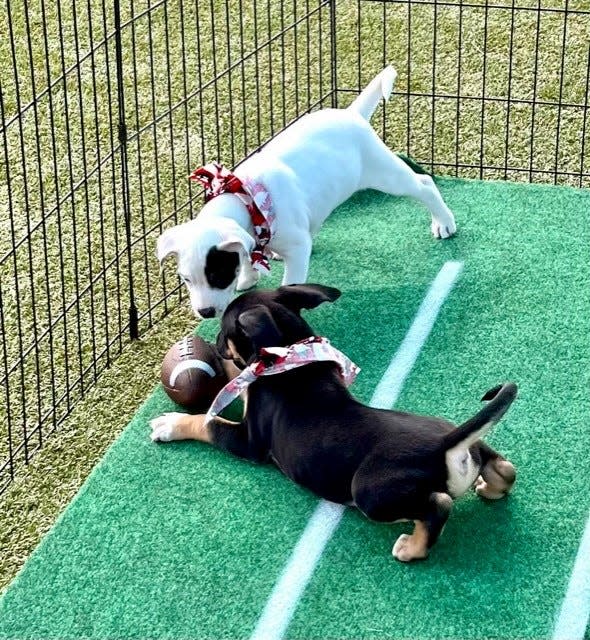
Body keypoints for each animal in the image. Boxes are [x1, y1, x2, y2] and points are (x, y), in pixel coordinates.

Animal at [151, 284, 520, 560]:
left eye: (224, 331)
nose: (211, 343)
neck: (292, 356)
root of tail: (447, 444)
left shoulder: (249, 442)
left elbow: (208, 423)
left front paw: (170, 423)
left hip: (370, 492)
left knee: (439, 504)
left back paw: (411, 547)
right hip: (475, 447)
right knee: (504, 468)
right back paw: (490, 487)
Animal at [157, 67, 458, 318]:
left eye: (217, 275)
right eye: (186, 279)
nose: (205, 313)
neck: (244, 199)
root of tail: (351, 113)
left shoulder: (297, 247)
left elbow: (290, 281)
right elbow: (248, 254)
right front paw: (247, 276)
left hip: (384, 173)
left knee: (424, 184)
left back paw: (443, 222)